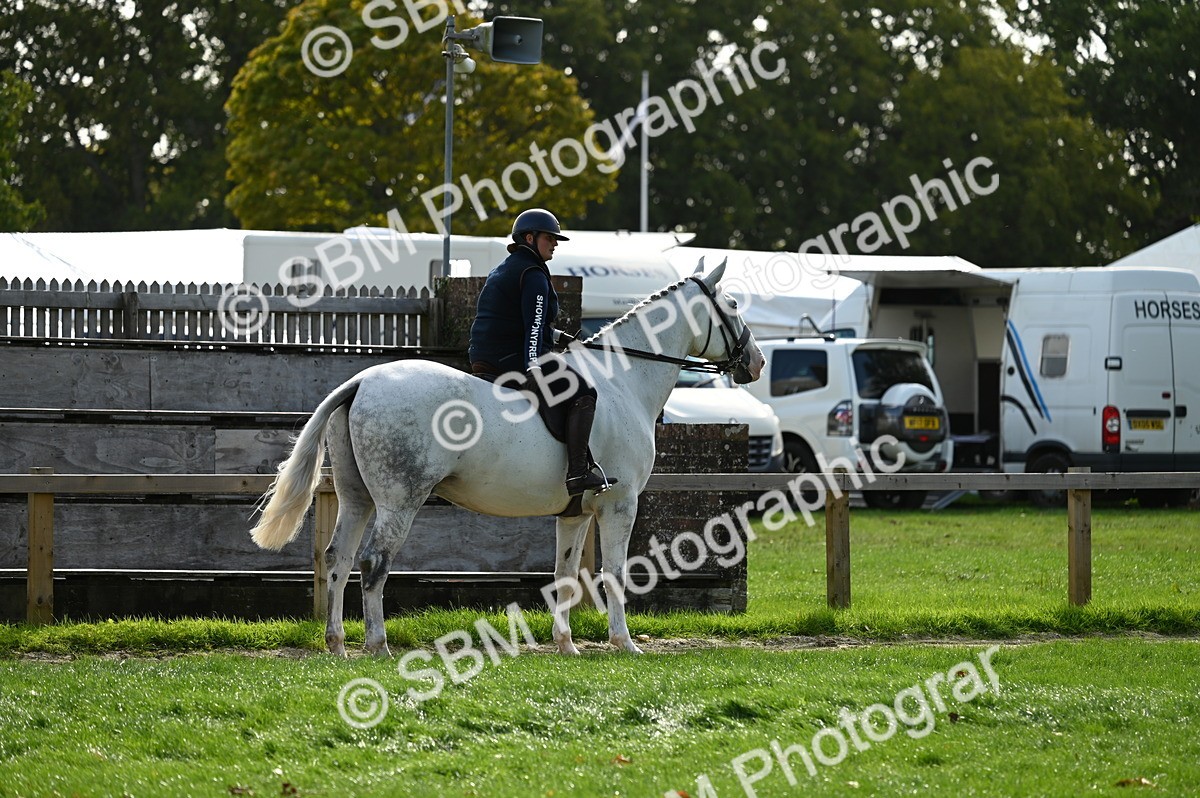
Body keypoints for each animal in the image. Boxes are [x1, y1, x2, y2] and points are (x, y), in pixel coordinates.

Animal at [249, 260, 764, 656]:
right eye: (734, 306)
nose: (756, 363)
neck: (623, 381)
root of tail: (361, 382)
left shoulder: (576, 513)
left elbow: (565, 575)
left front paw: (567, 645)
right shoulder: (619, 506)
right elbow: (614, 573)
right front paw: (625, 643)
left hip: (357, 498)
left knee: (338, 559)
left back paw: (337, 643)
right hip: (399, 501)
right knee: (374, 563)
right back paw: (378, 645)